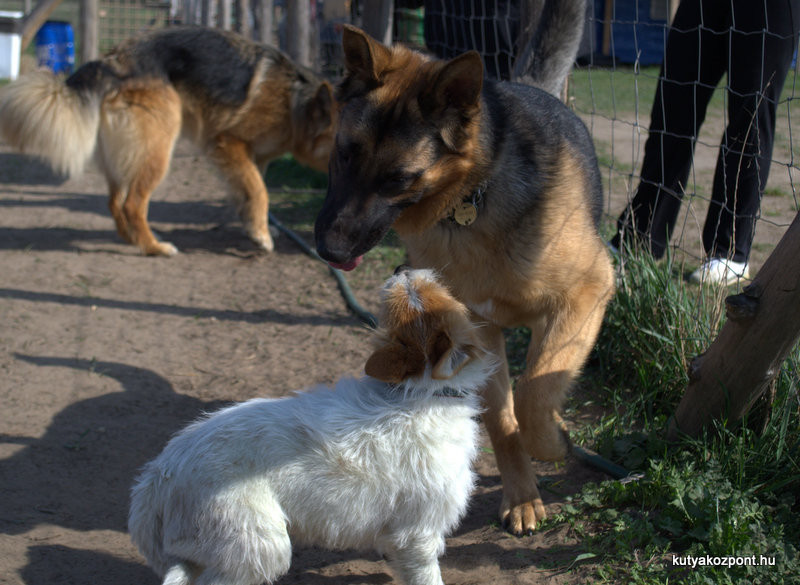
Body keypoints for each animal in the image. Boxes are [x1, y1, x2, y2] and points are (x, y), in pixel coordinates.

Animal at [0, 26, 336, 256]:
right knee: (133, 204)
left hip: (126, 155)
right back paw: (154, 248)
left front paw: (254, 228)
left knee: (114, 202)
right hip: (158, 148)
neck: (296, 102)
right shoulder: (227, 142)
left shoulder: (254, 156)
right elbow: (259, 190)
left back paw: (133, 240)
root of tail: (113, 59)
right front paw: (262, 236)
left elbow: (250, 190)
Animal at [128, 268, 494, 584]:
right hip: (259, 545)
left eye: (433, 295)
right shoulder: (418, 534)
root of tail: (157, 478)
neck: (422, 392)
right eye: (424, 296)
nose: (401, 268)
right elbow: (426, 575)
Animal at [316, 1, 616, 540]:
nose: (328, 251)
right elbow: (502, 418)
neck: (470, 200)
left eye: (398, 179)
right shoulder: (478, 331)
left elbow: (536, 392)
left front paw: (554, 442)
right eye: (344, 153)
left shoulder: (590, 290)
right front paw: (522, 497)